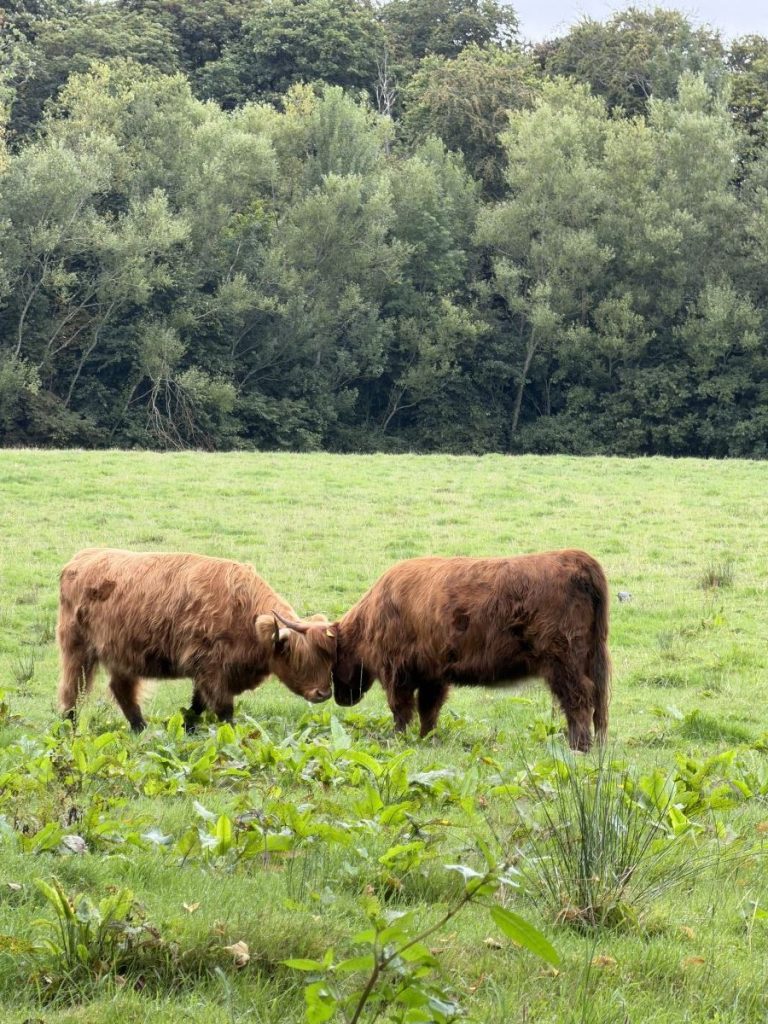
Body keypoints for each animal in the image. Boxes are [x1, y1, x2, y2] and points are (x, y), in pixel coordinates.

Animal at [57, 548, 335, 731]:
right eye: (297, 657)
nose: (324, 693)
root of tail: (81, 558)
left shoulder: (209, 672)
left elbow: (197, 705)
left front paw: (187, 728)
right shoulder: (211, 669)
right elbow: (223, 710)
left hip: (121, 654)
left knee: (121, 689)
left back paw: (141, 729)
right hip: (77, 649)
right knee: (73, 689)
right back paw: (69, 727)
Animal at [276, 550, 611, 752]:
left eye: (332, 660)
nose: (341, 699)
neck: (373, 615)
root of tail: (575, 558)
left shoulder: (396, 670)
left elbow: (401, 709)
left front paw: (399, 739)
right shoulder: (432, 673)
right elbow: (428, 710)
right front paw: (427, 739)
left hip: (563, 659)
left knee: (578, 698)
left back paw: (578, 748)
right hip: (590, 656)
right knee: (594, 700)